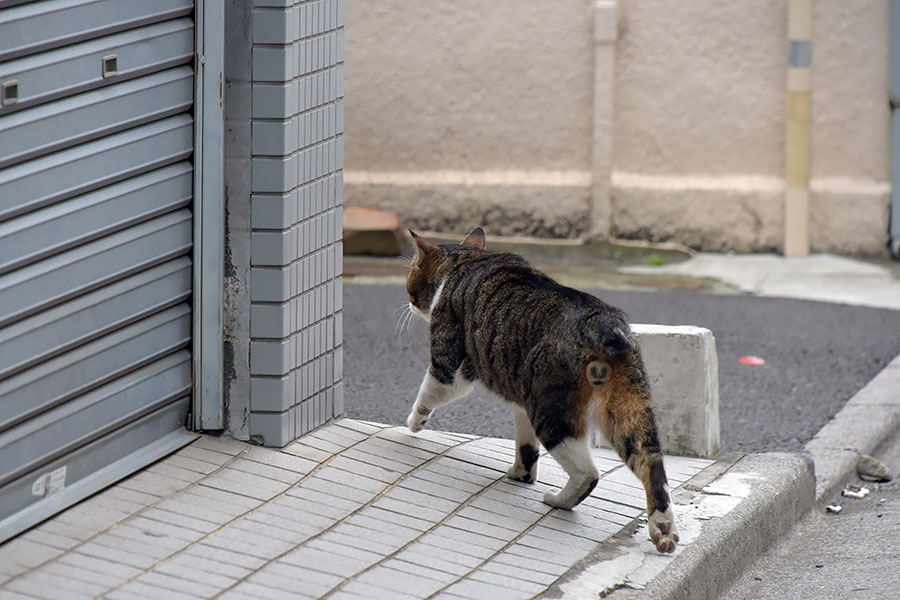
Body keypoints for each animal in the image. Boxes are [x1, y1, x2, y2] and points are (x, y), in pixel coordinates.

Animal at [404, 229, 680, 552]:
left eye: (411, 273)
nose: (408, 300)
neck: (463, 261)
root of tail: (601, 320)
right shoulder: (521, 397)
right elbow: (526, 445)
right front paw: (521, 474)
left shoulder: (451, 366)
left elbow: (430, 393)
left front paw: (414, 423)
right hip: (626, 408)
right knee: (651, 463)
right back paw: (663, 529)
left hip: (550, 408)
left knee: (588, 472)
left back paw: (559, 501)